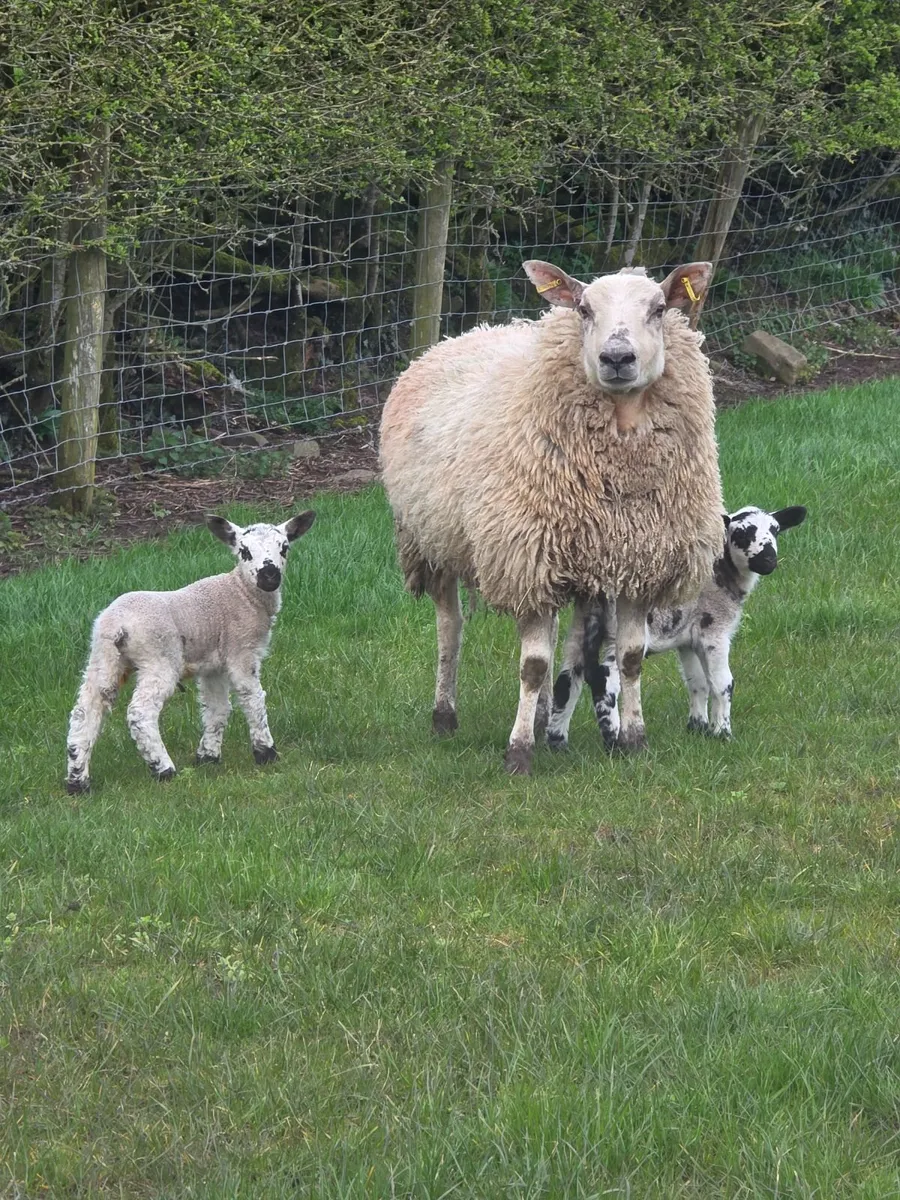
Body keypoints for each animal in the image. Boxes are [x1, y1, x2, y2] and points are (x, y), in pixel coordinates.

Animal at [64, 511, 316, 794]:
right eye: (244, 552)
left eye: (284, 548)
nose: (270, 576)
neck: (241, 592)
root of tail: (116, 625)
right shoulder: (242, 650)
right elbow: (253, 699)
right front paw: (266, 753)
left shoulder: (213, 665)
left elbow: (217, 708)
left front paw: (208, 757)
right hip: (158, 658)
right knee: (140, 712)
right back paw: (163, 769)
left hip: (103, 658)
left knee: (85, 710)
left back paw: (78, 780)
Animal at [379, 259, 724, 774]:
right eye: (584, 309)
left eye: (660, 308)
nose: (617, 358)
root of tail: (463, 335)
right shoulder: (525, 560)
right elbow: (533, 666)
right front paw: (518, 753)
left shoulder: (638, 564)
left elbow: (631, 658)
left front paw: (634, 739)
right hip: (431, 541)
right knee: (450, 629)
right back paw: (445, 715)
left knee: (561, 634)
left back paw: (544, 716)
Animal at [547, 504, 808, 749]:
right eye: (741, 534)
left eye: (775, 530)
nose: (768, 561)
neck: (722, 572)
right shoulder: (714, 630)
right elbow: (722, 683)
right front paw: (722, 733)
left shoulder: (687, 639)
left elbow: (698, 681)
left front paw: (698, 728)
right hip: (617, 628)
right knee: (604, 680)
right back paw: (614, 741)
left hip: (583, 625)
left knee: (567, 680)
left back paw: (558, 742)